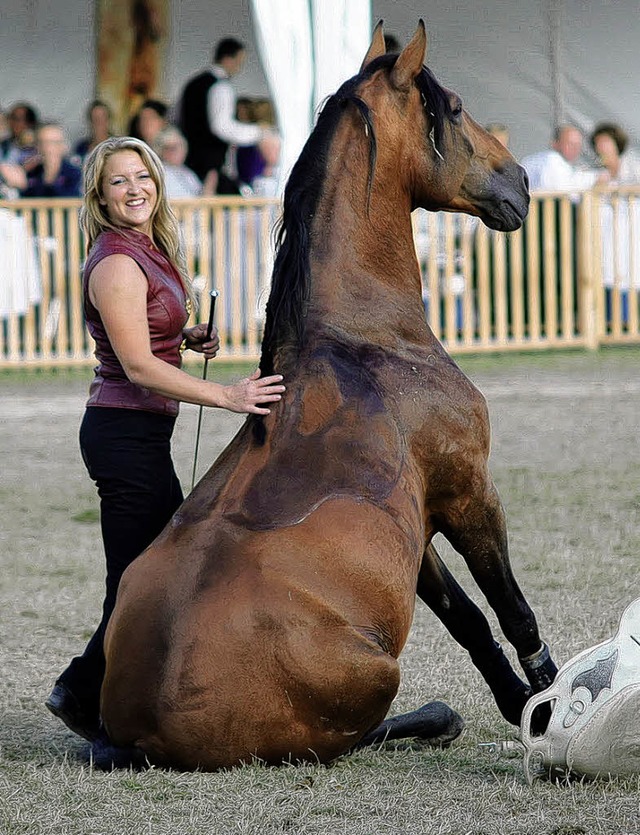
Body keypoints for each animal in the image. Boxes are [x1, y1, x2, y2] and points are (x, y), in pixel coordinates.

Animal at [95, 21, 556, 776]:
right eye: (457, 107)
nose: (519, 181)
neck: (363, 340)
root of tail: (143, 735)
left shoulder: (418, 528)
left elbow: (467, 618)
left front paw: (523, 705)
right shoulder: (468, 492)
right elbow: (512, 610)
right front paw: (547, 705)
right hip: (376, 674)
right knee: (362, 734)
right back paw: (438, 717)